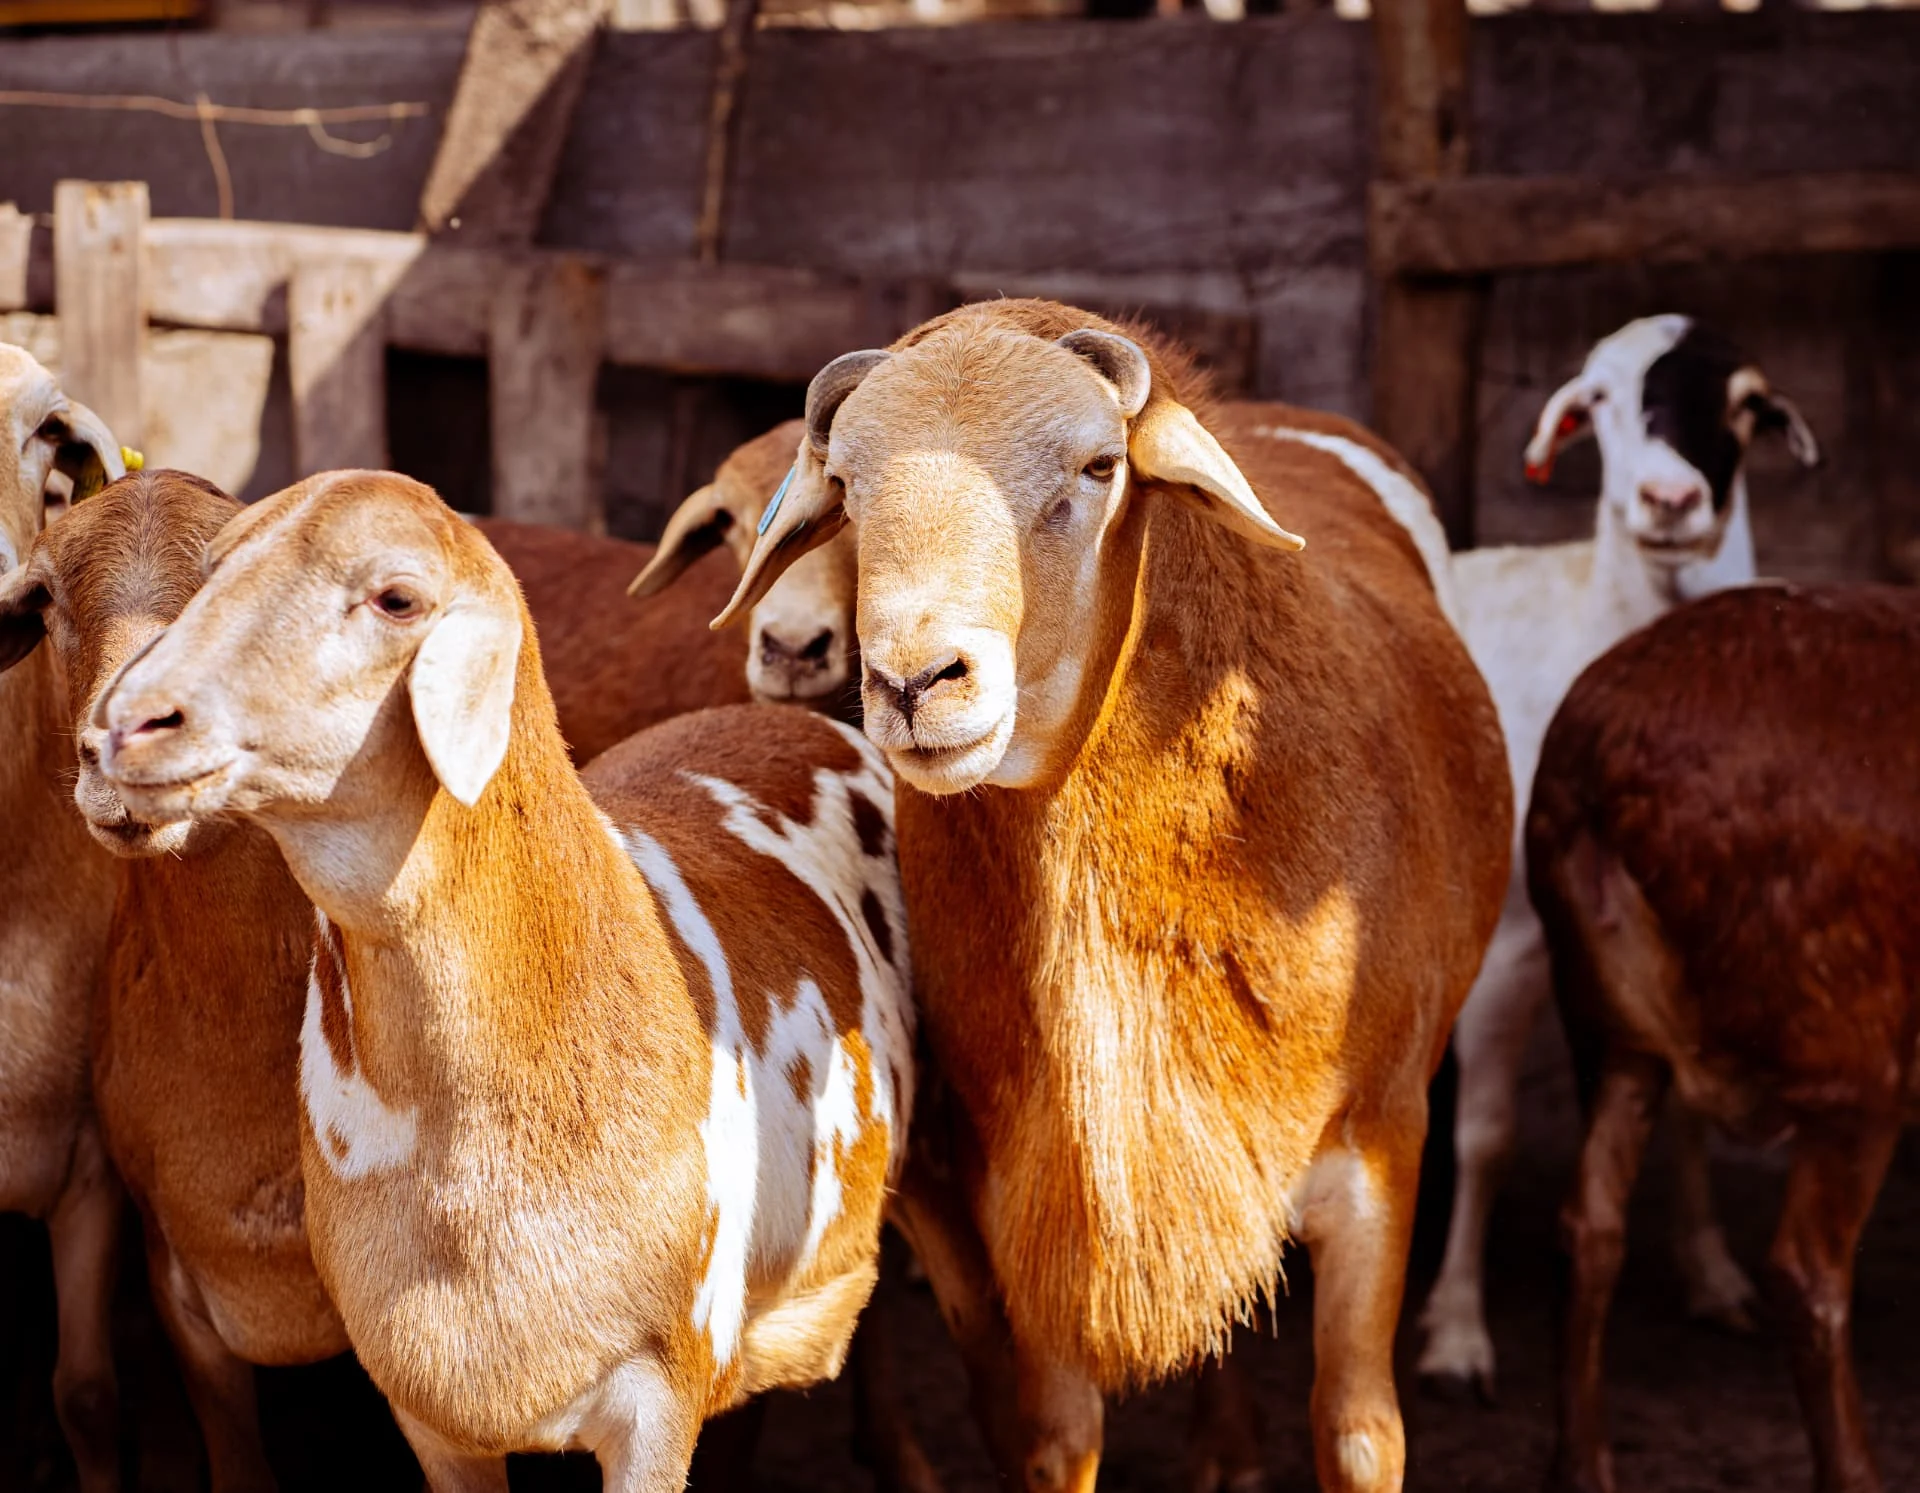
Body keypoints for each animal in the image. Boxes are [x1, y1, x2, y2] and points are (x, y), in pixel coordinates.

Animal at [717, 299, 1510, 1493]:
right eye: (848, 485)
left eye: (1098, 467)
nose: (915, 681)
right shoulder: (1038, 1190)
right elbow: (1056, 1436)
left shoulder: (1382, 1149)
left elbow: (1359, 1433)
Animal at [1419, 315, 1822, 1398]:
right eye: (1596, 400)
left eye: (1745, 403)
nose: (1672, 500)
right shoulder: (1510, 944)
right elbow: (1486, 1136)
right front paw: (1457, 1330)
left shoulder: (1680, 952)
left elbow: (1687, 1114)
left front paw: (1712, 1274)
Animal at [1527, 582, 1920, 1493]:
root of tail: (1604, 755)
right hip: (1852, 1047)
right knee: (1805, 1272)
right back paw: (1856, 1473)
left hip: (1610, 1027)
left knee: (1588, 1227)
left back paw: (1584, 1467)